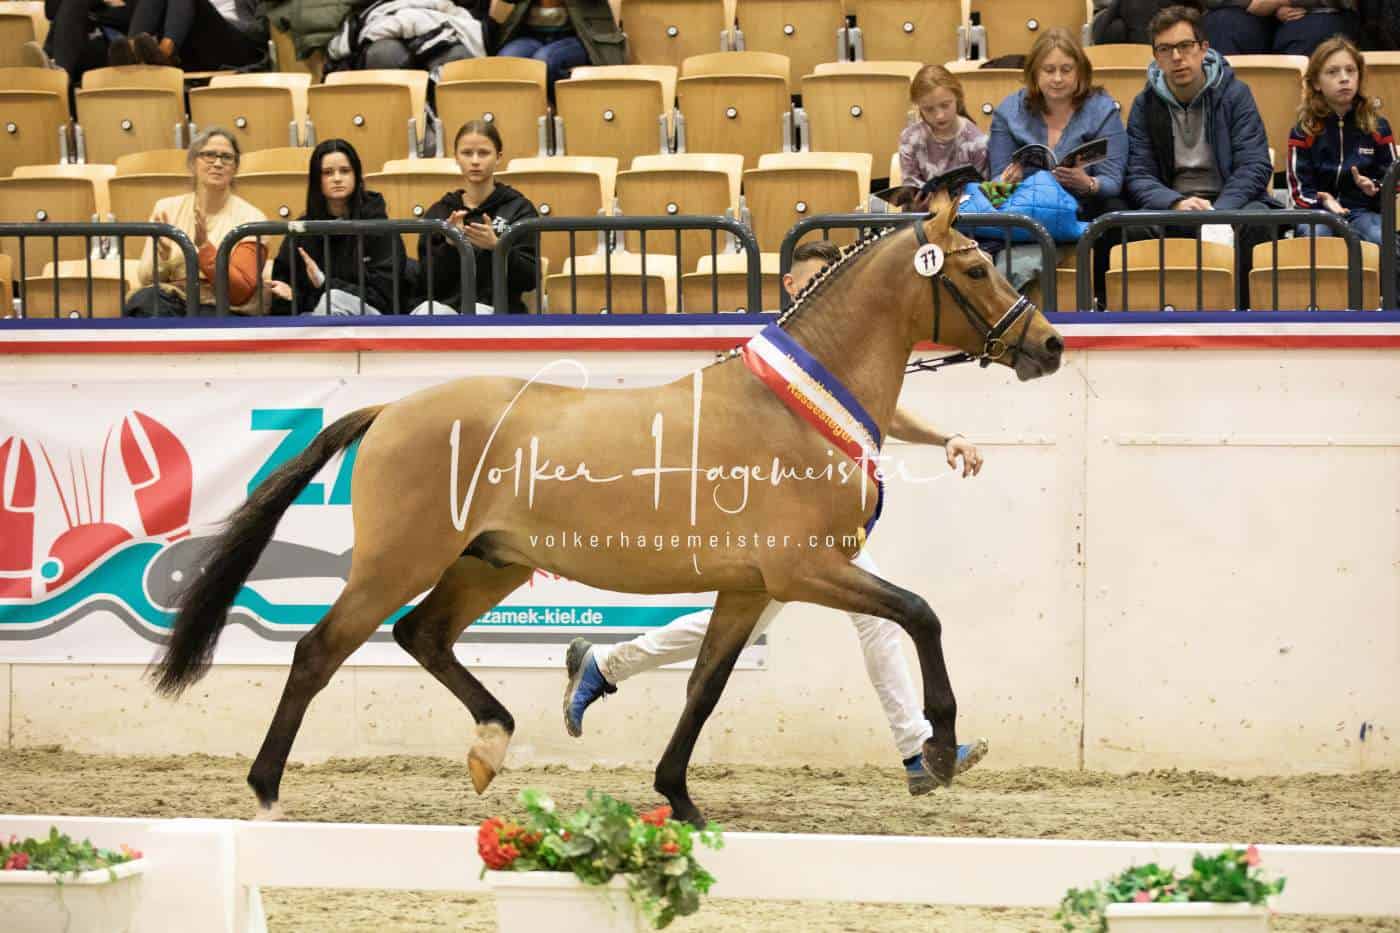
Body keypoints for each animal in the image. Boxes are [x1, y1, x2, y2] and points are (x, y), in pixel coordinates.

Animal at [149, 191, 1065, 828]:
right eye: (974, 269)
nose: (1049, 345)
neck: (798, 406)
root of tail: (391, 411)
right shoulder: (803, 569)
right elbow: (920, 613)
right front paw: (940, 747)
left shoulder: (749, 587)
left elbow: (705, 686)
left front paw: (679, 797)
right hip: (398, 562)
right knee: (319, 651)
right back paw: (267, 790)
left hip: (489, 563)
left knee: (422, 635)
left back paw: (492, 742)